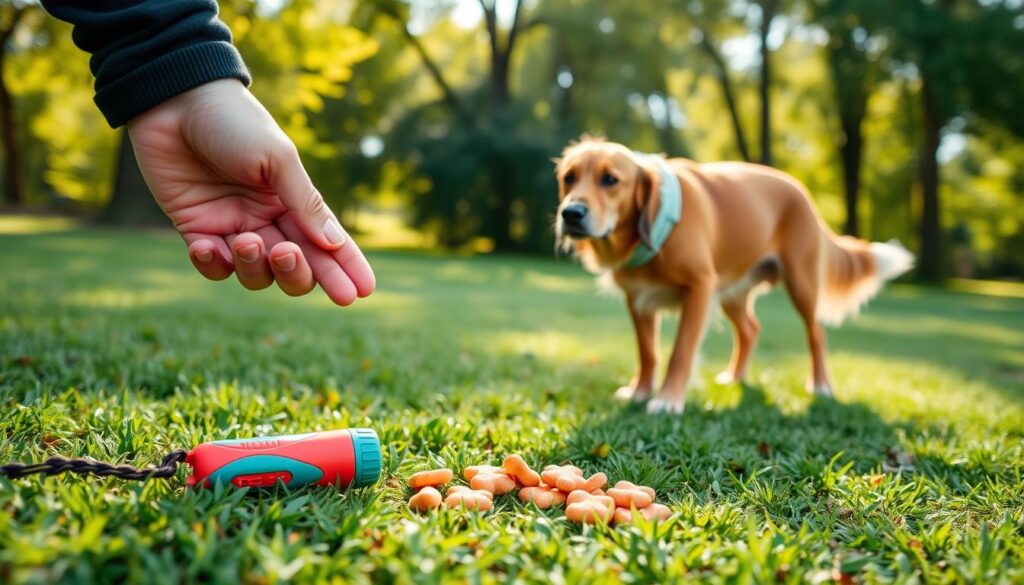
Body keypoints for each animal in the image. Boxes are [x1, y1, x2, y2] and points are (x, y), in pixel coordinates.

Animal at [557, 138, 917, 413]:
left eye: (610, 179)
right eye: (569, 178)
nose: (570, 214)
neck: (655, 228)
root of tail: (803, 193)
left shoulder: (700, 289)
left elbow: (680, 352)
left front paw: (667, 399)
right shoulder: (639, 300)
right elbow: (648, 353)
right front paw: (640, 391)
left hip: (799, 284)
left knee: (816, 334)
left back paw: (821, 385)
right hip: (730, 292)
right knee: (750, 330)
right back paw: (735, 377)